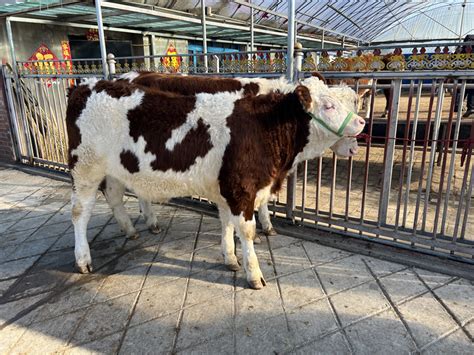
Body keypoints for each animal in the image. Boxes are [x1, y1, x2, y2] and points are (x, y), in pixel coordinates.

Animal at [66, 77, 364, 290]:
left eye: (353, 102)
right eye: (329, 105)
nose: (361, 122)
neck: (263, 126)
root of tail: (87, 85)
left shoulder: (227, 189)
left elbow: (226, 224)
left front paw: (230, 258)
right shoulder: (241, 188)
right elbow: (246, 231)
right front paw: (254, 274)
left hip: (115, 169)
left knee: (114, 196)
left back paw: (130, 230)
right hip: (85, 167)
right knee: (80, 211)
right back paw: (83, 260)